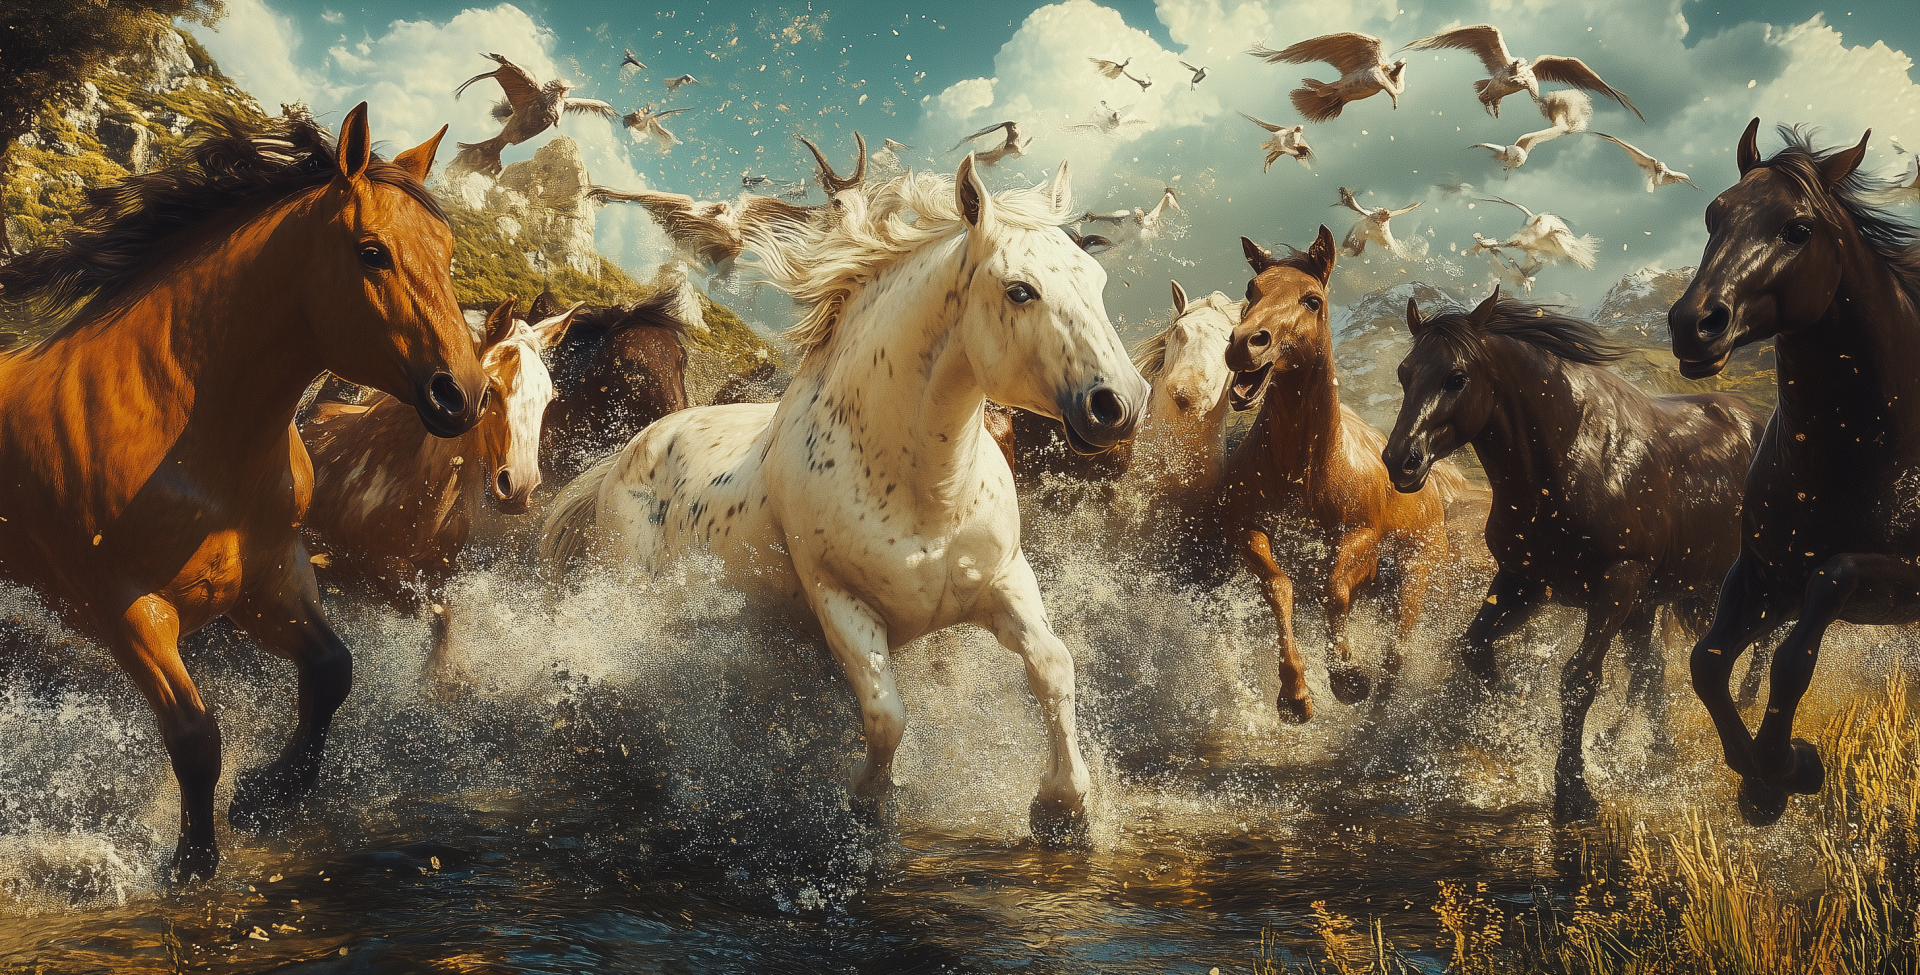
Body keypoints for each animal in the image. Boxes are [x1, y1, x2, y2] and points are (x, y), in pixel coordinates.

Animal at [0, 104, 484, 880]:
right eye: (372, 252)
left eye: (443, 253)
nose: (462, 394)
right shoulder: (129, 612)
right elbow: (197, 737)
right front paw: (192, 862)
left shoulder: (267, 579)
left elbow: (332, 671)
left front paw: (265, 795)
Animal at [300, 297, 578, 678]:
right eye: (490, 389)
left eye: (548, 398)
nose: (520, 487)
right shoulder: (378, 572)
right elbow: (437, 618)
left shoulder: (437, 575)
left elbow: (444, 619)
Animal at [1221, 225, 1463, 723]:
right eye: (1251, 290)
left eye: (1312, 300)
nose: (1244, 344)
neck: (1304, 474)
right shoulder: (1245, 530)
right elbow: (1279, 586)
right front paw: (1295, 694)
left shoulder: (1363, 538)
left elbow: (1334, 589)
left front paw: (1347, 677)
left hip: (1414, 580)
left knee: (1397, 653)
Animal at [1381, 287, 1761, 820]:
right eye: (1404, 373)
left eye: (1456, 377)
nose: (1401, 461)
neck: (1574, 463)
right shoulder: (1524, 582)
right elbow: (1474, 648)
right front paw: (1520, 713)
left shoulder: (1616, 583)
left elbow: (1579, 678)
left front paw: (1574, 791)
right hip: (1650, 604)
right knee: (1651, 672)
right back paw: (1651, 747)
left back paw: (1746, 708)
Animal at [1668, 120, 1920, 825]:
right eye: (1713, 214)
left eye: (1798, 229)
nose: (1694, 325)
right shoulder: (1763, 577)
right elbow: (1708, 661)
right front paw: (1760, 784)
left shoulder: (1891, 578)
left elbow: (1806, 629)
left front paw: (1790, 766)